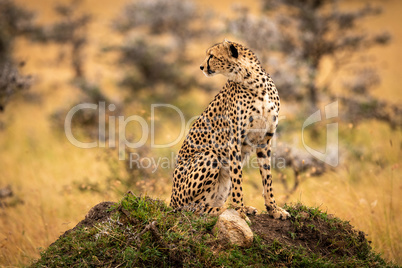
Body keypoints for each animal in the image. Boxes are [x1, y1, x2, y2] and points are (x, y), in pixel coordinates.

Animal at [170, 39, 288, 220]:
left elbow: (267, 178)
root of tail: (171, 202)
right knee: (194, 208)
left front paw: (273, 209)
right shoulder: (234, 141)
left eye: (211, 56)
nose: (201, 67)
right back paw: (224, 209)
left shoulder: (264, 140)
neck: (254, 84)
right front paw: (239, 211)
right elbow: (238, 179)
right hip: (209, 157)